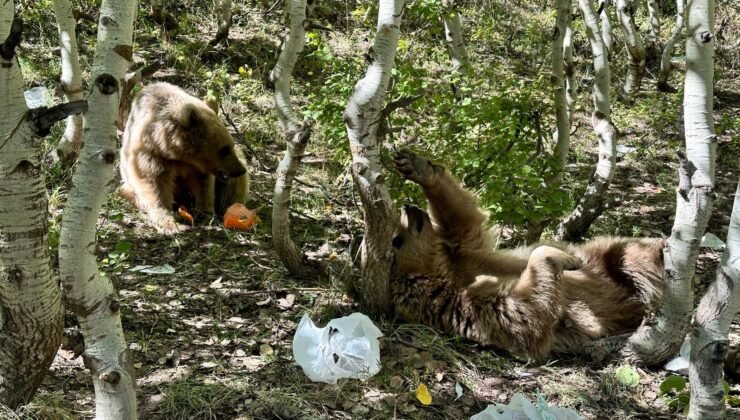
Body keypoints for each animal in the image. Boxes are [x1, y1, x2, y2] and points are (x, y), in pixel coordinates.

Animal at [120, 82, 250, 233]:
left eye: (231, 145)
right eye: (224, 149)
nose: (239, 170)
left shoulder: (197, 167)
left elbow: (203, 185)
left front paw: (205, 213)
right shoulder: (151, 154)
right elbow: (154, 183)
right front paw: (170, 223)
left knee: (235, 186)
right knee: (128, 192)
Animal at [390, 149, 660, 362]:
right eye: (396, 239)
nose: (408, 207)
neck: (443, 271)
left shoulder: (468, 255)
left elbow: (464, 220)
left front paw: (417, 166)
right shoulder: (464, 306)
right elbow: (526, 314)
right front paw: (564, 259)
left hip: (606, 255)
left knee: (629, 255)